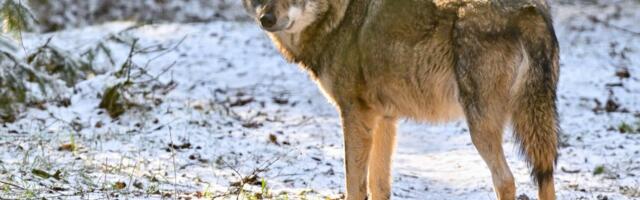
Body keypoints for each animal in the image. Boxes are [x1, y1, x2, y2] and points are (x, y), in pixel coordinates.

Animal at [242, 0, 564, 198]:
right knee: (545, 177)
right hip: (535, 124)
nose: (266, 19)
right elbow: (378, 185)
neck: (342, 17)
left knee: (506, 181)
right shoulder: (384, 119)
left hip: (481, 127)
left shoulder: (354, 115)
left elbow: (354, 186)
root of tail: (531, 11)